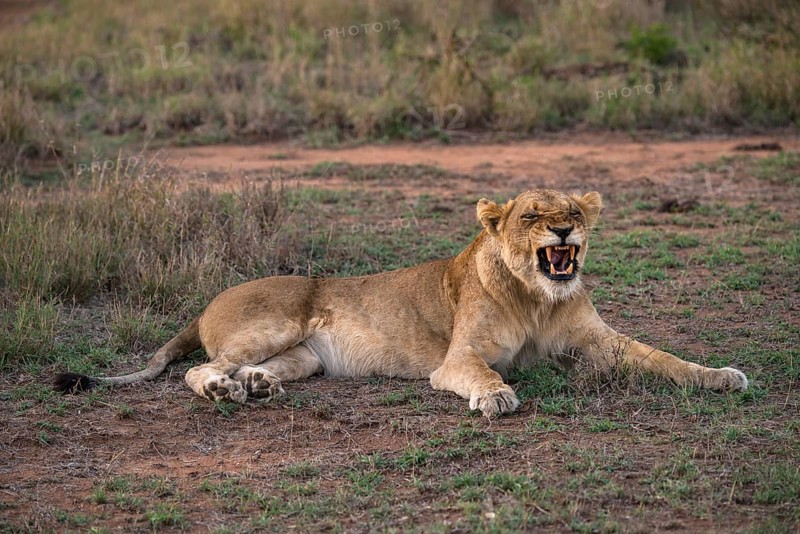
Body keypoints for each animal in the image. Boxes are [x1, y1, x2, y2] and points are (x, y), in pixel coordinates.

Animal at [54, 189, 748, 417]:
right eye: (530, 216)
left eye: (573, 213)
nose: (560, 233)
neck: (537, 297)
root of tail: (202, 305)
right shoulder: (458, 357)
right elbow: (482, 371)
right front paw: (497, 396)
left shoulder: (602, 342)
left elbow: (662, 358)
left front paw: (720, 375)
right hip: (273, 322)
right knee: (199, 369)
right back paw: (227, 392)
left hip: (305, 357)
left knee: (255, 369)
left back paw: (256, 388)